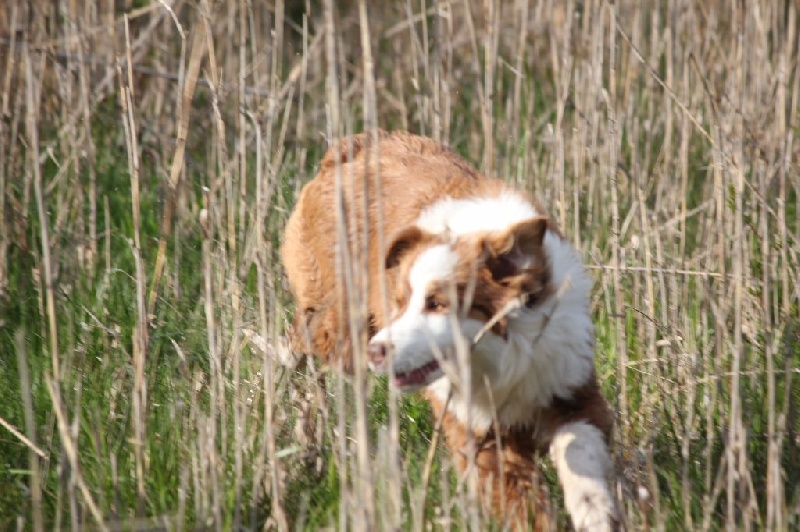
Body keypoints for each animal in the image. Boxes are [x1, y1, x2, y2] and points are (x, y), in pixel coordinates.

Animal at [282, 131, 620, 528]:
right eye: (400, 301)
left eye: (437, 304)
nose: (378, 351)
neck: (505, 357)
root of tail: (353, 145)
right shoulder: (481, 434)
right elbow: (523, 505)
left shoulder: (571, 387)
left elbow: (581, 455)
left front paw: (595, 514)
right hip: (339, 326)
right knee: (303, 339)